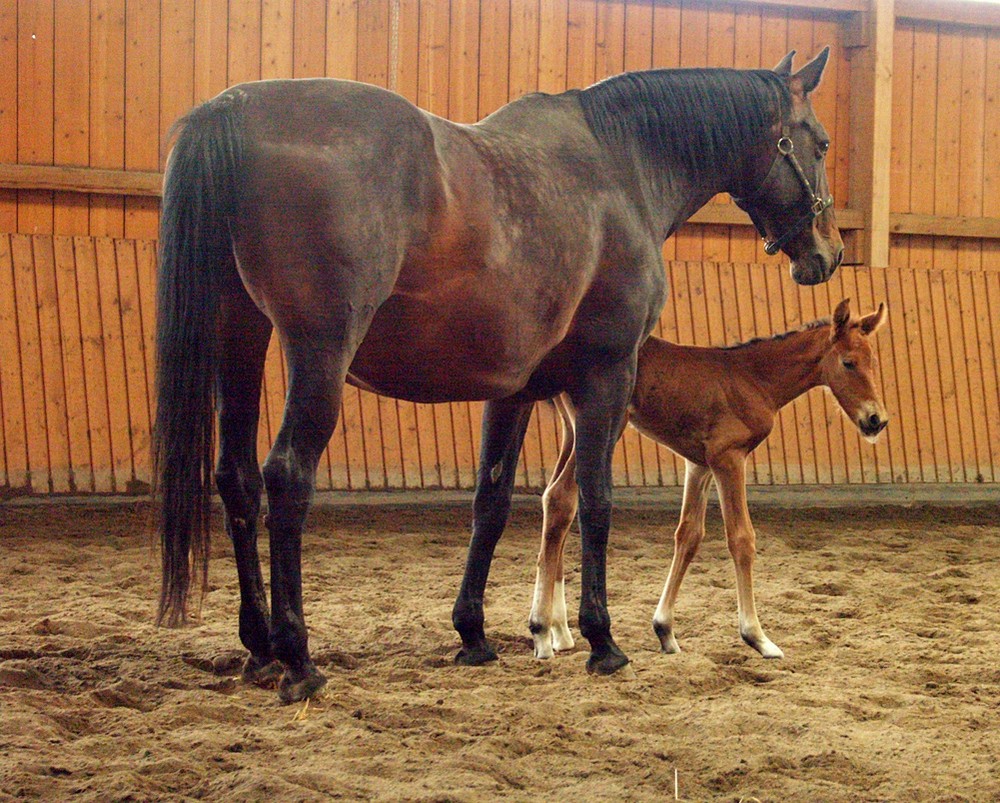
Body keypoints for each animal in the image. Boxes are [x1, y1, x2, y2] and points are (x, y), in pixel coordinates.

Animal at [156, 48, 844, 704]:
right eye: (819, 142)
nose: (830, 252)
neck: (624, 165)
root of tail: (232, 108)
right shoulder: (608, 374)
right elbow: (596, 499)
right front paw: (601, 640)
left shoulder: (515, 390)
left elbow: (491, 501)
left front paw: (474, 635)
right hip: (319, 352)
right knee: (287, 477)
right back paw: (297, 658)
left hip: (240, 336)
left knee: (237, 477)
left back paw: (259, 646)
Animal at [536, 298, 888, 664]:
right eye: (848, 363)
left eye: (873, 361)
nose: (876, 420)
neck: (753, 379)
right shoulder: (728, 458)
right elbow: (741, 538)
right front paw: (757, 637)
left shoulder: (699, 465)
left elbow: (689, 535)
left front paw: (665, 630)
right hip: (604, 428)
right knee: (561, 498)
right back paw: (541, 632)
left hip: (572, 431)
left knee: (555, 502)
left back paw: (560, 631)